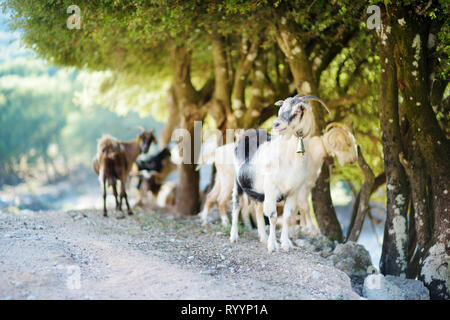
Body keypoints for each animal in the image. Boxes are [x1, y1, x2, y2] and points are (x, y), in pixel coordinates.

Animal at [230, 95, 328, 252]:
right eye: (281, 108)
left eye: (298, 110)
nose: (276, 124)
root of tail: (246, 133)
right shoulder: (271, 187)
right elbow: (273, 216)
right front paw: (272, 245)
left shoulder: (293, 191)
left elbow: (287, 216)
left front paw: (286, 243)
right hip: (238, 182)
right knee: (236, 205)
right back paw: (234, 236)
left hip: (258, 188)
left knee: (257, 209)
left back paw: (263, 237)